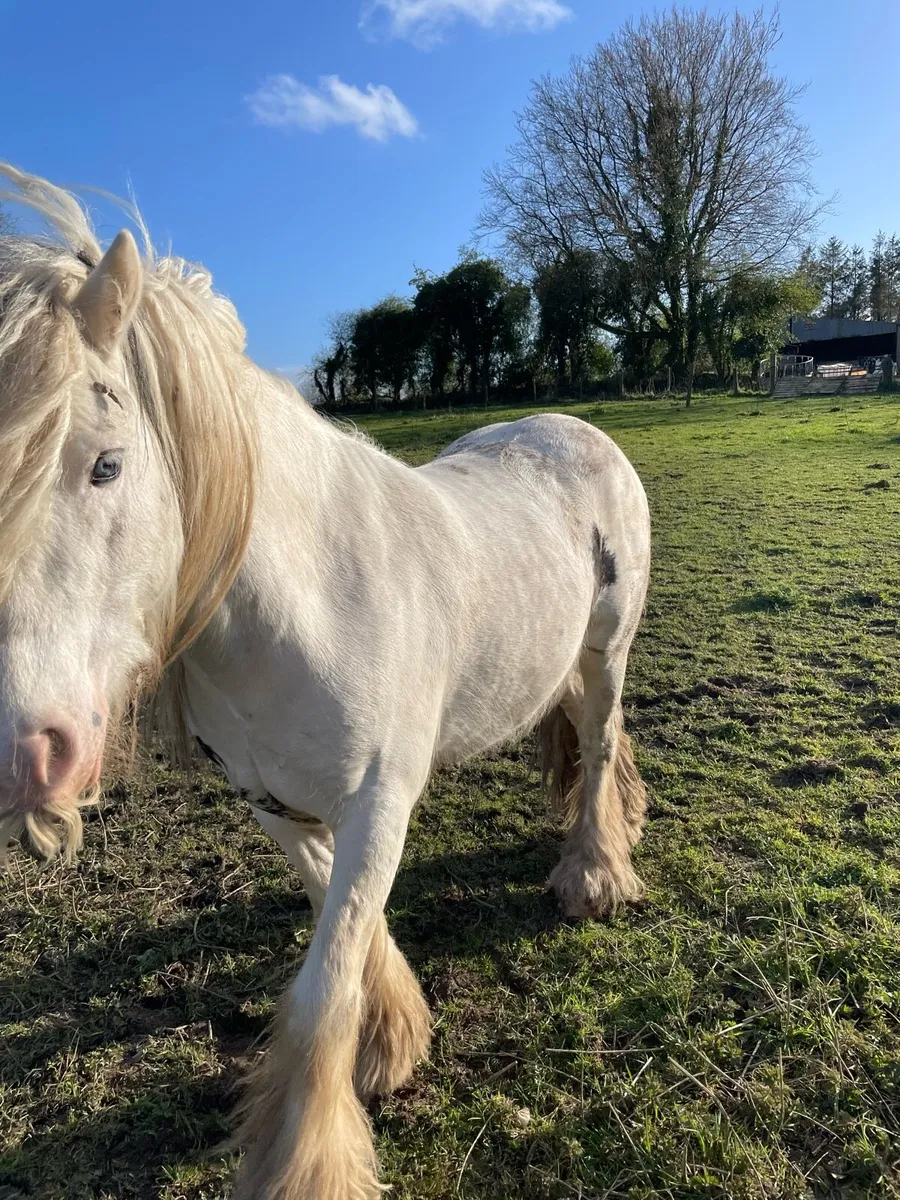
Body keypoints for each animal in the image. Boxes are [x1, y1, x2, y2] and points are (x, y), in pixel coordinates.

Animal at [0, 166, 651, 1200]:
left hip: (606, 653)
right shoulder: (275, 802)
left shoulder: (382, 801)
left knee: (596, 752)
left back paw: (592, 875)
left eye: (106, 465)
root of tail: (571, 426)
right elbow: (344, 932)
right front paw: (391, 1035)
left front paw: (311, 1154)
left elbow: (320, 993)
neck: (303, 607)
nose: (29, 758)